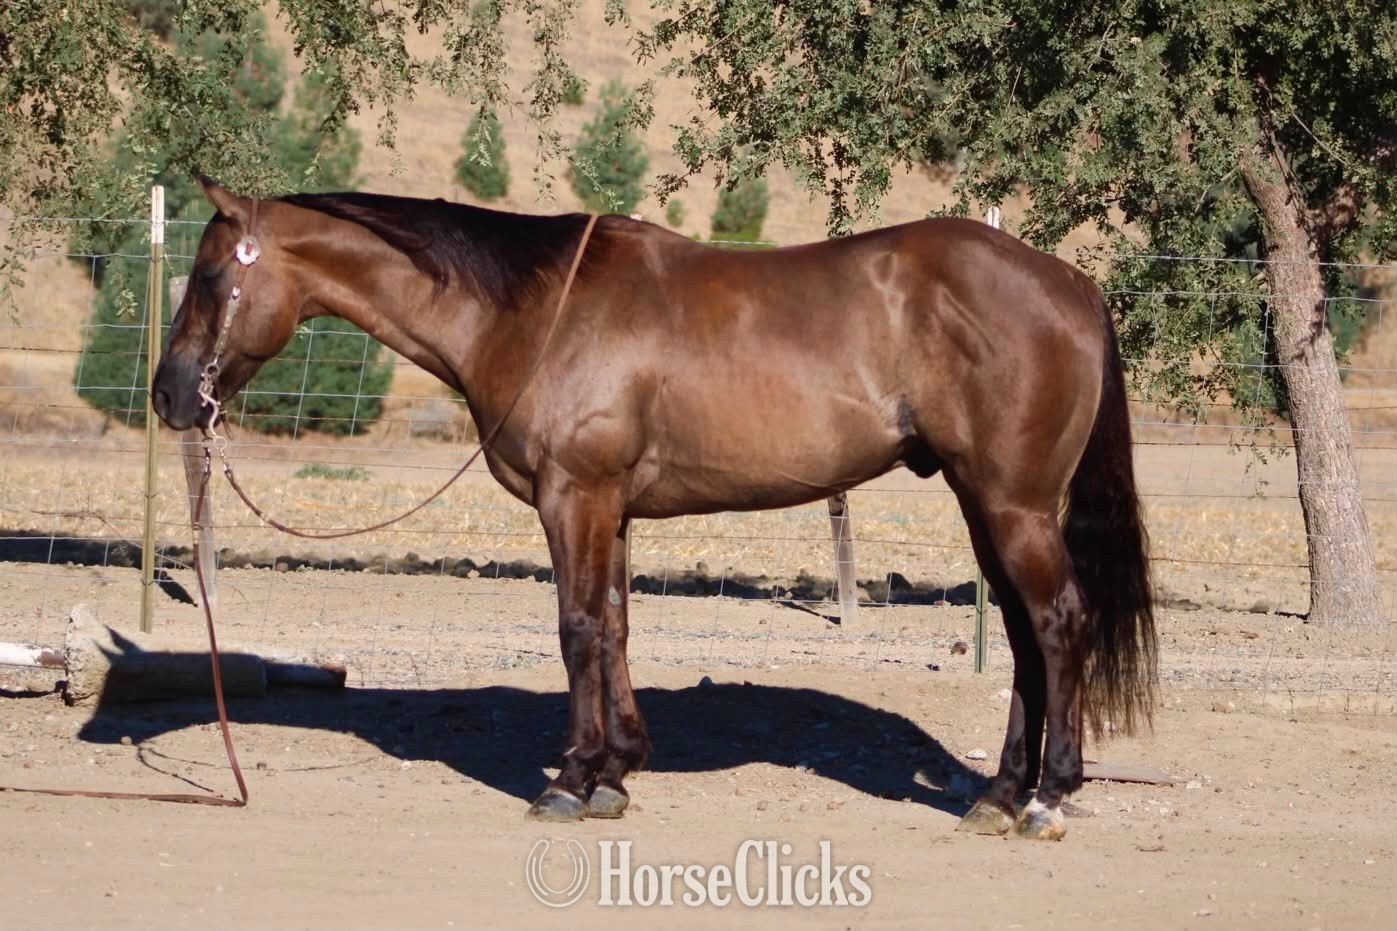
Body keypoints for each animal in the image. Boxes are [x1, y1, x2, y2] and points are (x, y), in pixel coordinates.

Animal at [153, 178, 1156, 840]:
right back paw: (997, 794)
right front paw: (616, 770)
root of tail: (1070, 283)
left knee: (1057, 624)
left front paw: (569, 778)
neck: (529, 310)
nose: (168, 395)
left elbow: (576, 628)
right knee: (1025, 637)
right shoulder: (611, 508)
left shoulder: (573, 496)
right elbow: (615, 626)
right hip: (984, 502)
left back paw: (1045, 796)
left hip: (1011, 504)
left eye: (207, 277)